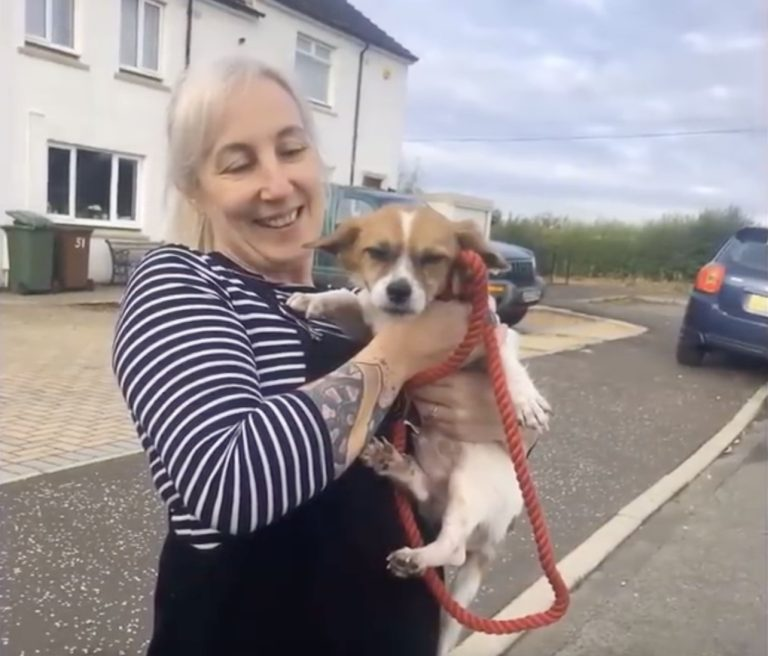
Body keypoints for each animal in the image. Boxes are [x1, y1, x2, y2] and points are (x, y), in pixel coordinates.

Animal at [287, 204, 551, 655]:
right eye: (377, 252)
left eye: (433, 259)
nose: (398, 291)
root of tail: (493, 540)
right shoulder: (369, 322)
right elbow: (349, 297)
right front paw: (313, 297)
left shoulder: (491, 332)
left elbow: (507, 362)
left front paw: (524, 398)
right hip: (439, 493)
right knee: (429, 494)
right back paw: (397, 465)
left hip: (470, 482)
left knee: (455, 548)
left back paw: (417, 557)